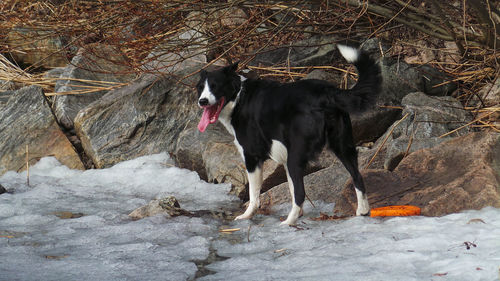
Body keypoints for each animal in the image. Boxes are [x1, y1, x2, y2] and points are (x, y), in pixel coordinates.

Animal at [197, 46, 380, 225]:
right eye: (200, 88)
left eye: (215, 86)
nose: (202, 101)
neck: (239, 97)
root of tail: (327, 92)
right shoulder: (284, 160)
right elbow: (291, 189)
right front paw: (300, 214)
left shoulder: (252, 158)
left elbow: (254, 195)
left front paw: (246, 216)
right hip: (343, 147)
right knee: (357, 177)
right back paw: (362, 211)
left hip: (297, 156)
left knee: (301, 192)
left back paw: (288, 222)